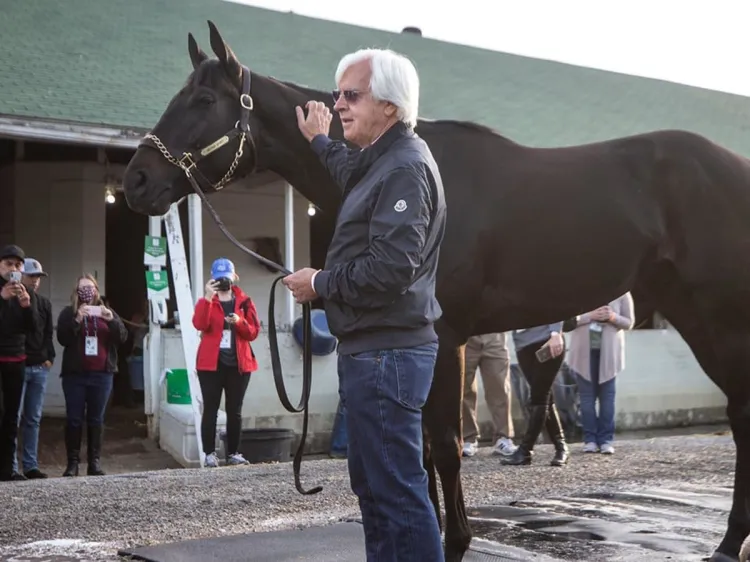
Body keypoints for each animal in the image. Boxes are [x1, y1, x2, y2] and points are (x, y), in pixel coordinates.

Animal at [123, 21, 750, 560]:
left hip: (723, 322)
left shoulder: (444, 338)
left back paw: (726, 543)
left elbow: (444, 446)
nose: (137, 181)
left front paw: (455, 541)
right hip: (695, 316)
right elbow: (421, 451)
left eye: (205, 101)